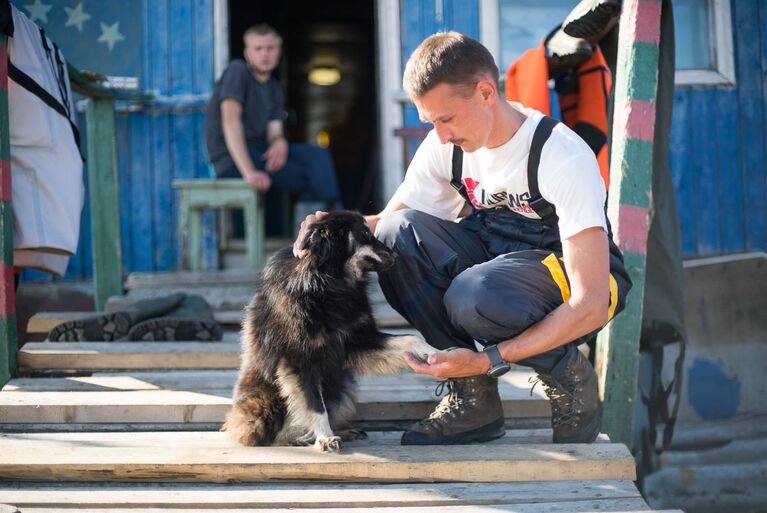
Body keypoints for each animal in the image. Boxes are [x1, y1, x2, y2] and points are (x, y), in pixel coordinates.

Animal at [225, 210, 436, 450]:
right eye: (365, 234)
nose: (396, 255)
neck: (331, 282)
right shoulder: (299, 359)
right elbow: (315, 405)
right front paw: (325, 437)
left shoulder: (359, 339)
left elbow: (410, 338)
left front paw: (437, 353)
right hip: (265, 406)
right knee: (275, 433)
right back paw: (301, 438)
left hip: (344, 388)